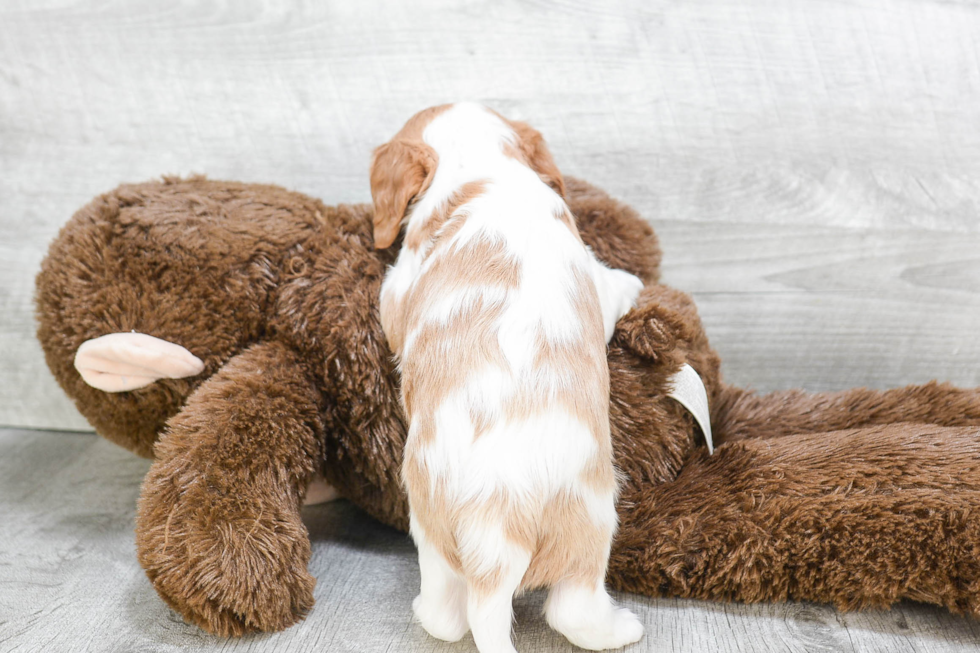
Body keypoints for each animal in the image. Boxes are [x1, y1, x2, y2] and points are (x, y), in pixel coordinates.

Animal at [374, 103, 644, 652]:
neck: (480, 166)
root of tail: (494, 529)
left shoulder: (399, 289)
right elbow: (614, 286)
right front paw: (634, 282)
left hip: (432, 529)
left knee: (446, 615)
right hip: (593, 517)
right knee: (572, 610)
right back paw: (623, 628)